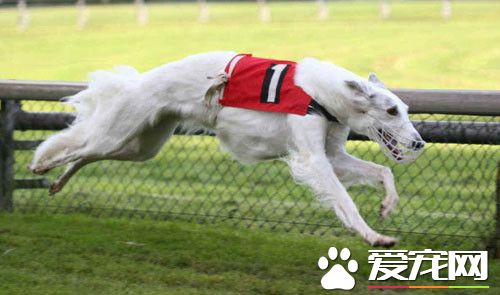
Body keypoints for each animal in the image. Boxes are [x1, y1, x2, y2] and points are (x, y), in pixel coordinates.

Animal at [29, 51, 424, 247]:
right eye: (392, 111)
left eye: (405, 109)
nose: (419, 142)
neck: (324, 95)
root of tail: (141, 81)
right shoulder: (312, 158)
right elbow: (345, 200)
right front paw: (375, 236)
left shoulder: (332, 155)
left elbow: (382, 171)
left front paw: (388, 205)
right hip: (120, 133)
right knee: (79, 146)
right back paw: (41, 166)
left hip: (142, 145)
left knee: (88, 154)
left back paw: (58, 182)